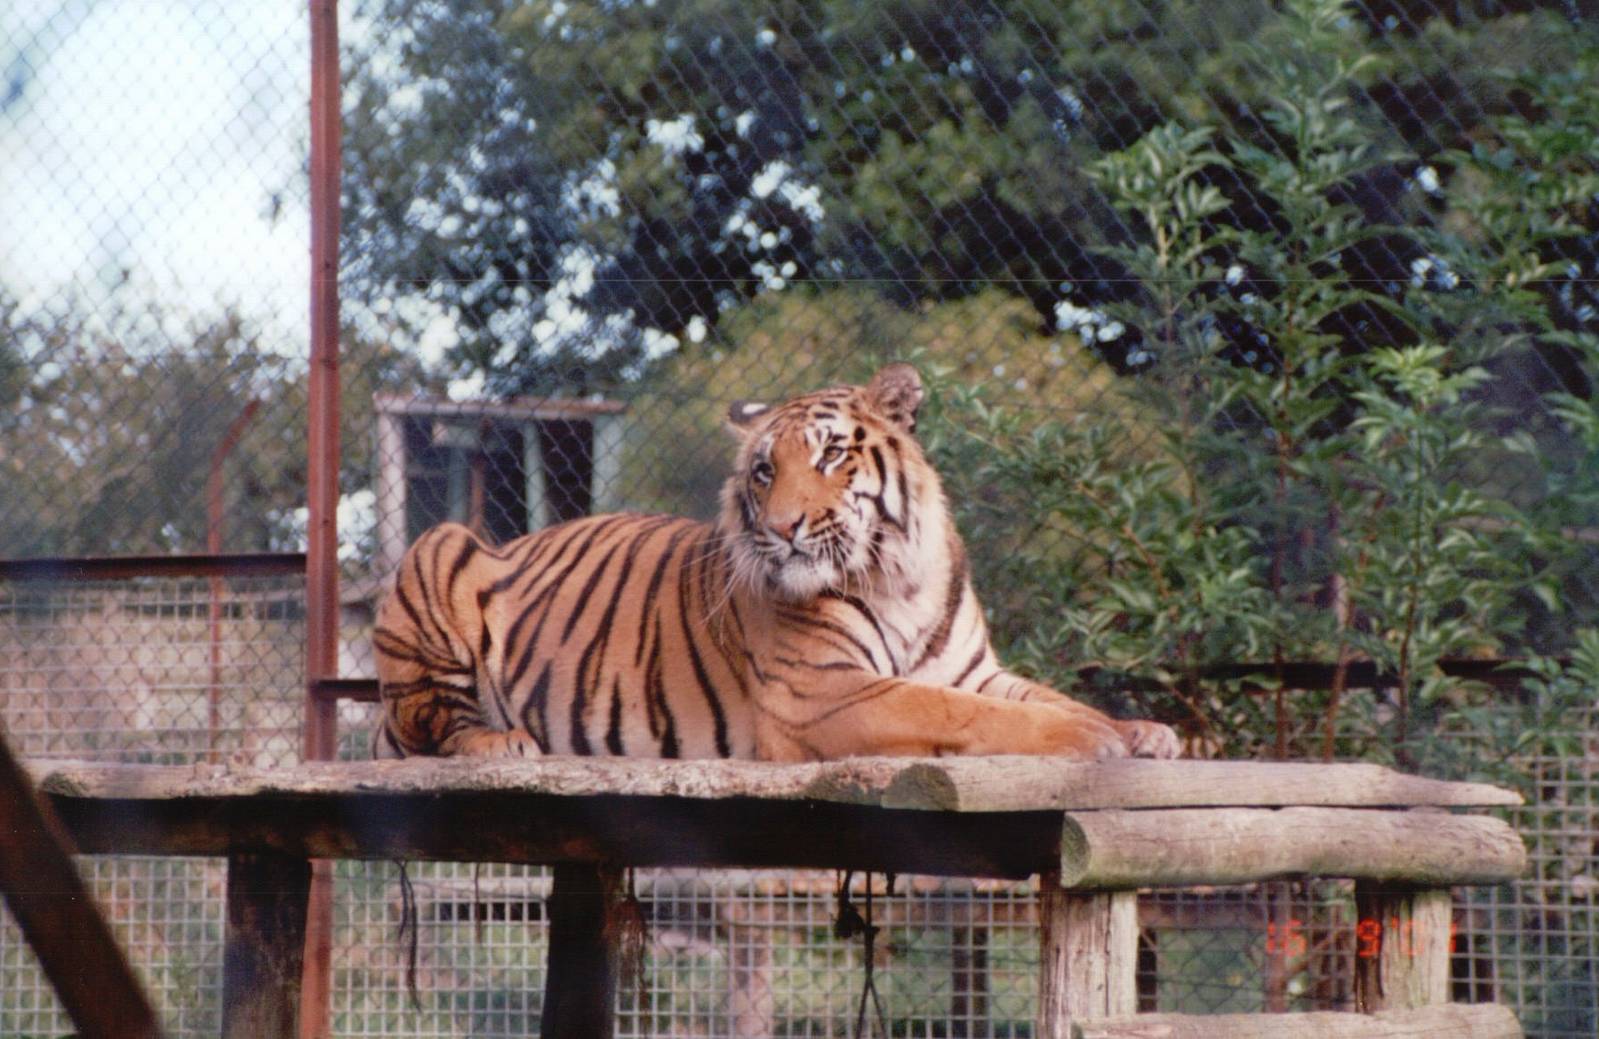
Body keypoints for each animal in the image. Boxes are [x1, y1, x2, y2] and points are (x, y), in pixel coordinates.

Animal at [372, 363, 1180, 763]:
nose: (785, 527)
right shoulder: (820, 690)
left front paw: (1141, 730)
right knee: (426, 726)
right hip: (439, 546)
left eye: (830, 454)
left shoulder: (975, 670)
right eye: (764, 471)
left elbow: (1049, 697)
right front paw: (1092, 742)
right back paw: (503, 740)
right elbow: (957, 711)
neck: (899, 578)